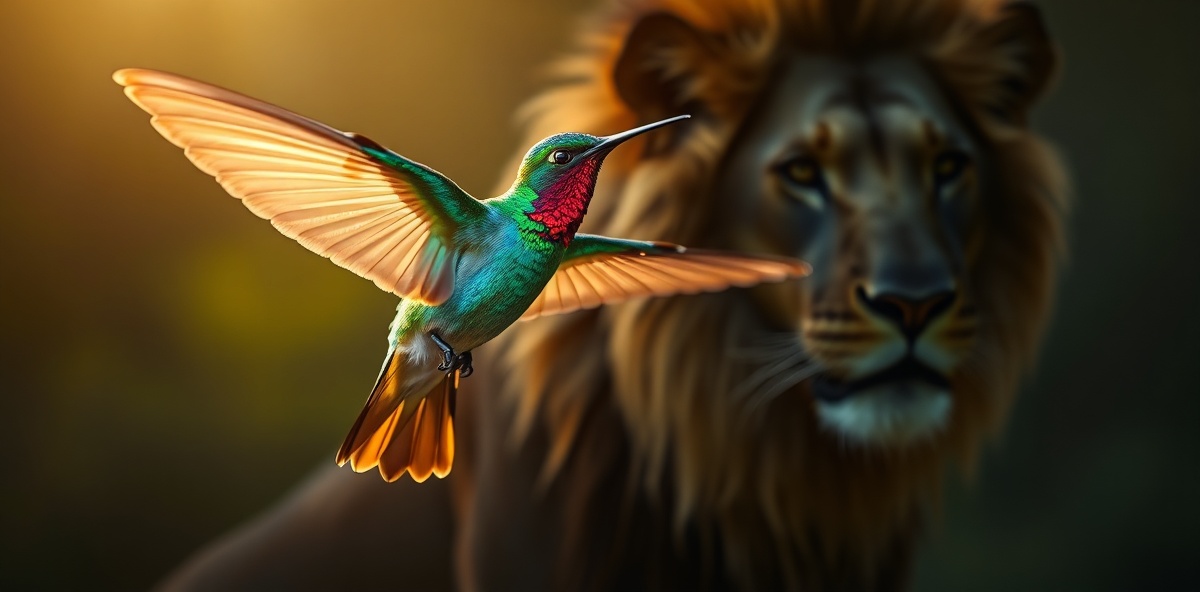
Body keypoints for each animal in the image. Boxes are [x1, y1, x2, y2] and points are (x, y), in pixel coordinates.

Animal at [158, 0, 1066, 590]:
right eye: (564, 155)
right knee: (424, 338)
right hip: (414, 337)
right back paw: (444, 353)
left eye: (950, 168)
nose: (914, 303)